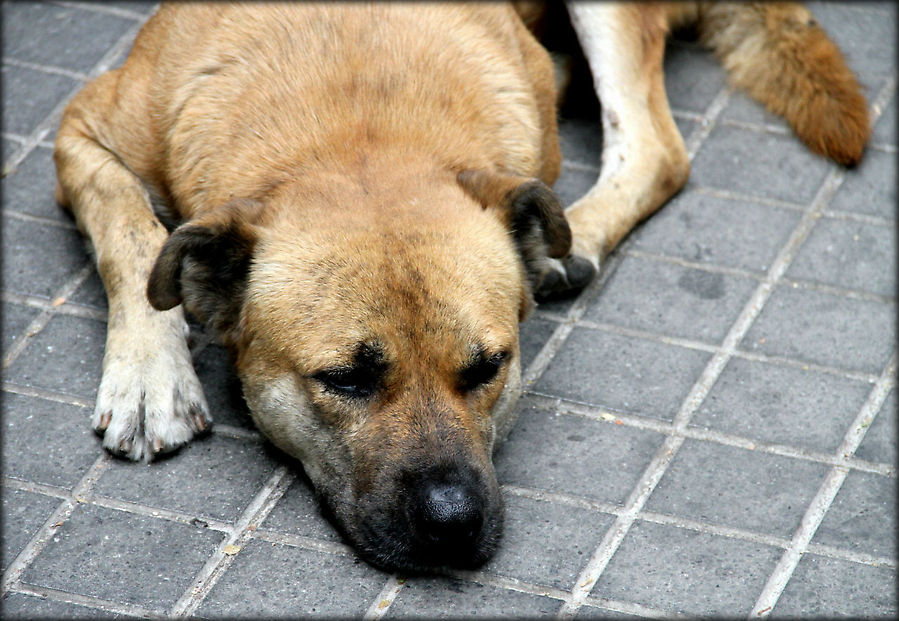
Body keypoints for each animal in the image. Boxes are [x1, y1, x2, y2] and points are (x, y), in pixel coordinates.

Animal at [52, 1, 868, 572]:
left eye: (487, 367)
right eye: (345, 379)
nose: (452, 522)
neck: (353, 124)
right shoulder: (82, 129)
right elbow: (131, 233)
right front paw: (149, 374)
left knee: (655, 145)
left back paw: (575, 234)